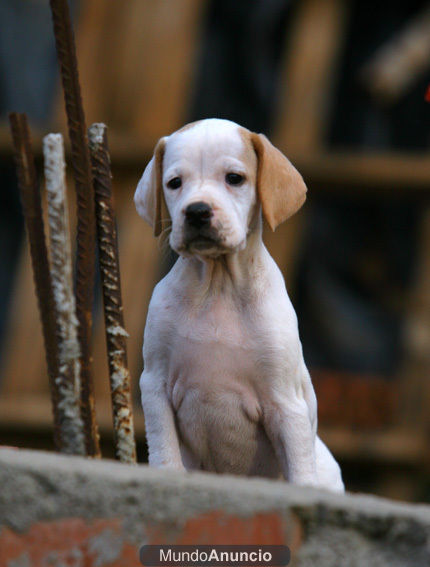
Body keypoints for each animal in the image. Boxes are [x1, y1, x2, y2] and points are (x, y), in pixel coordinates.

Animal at [136, 118, 344, 492]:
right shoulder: (155, 383)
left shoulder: (285, 402)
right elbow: (164, 449)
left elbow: (299, 468)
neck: (218, 286)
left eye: (235, 178)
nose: (197, 211)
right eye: (174, 183)